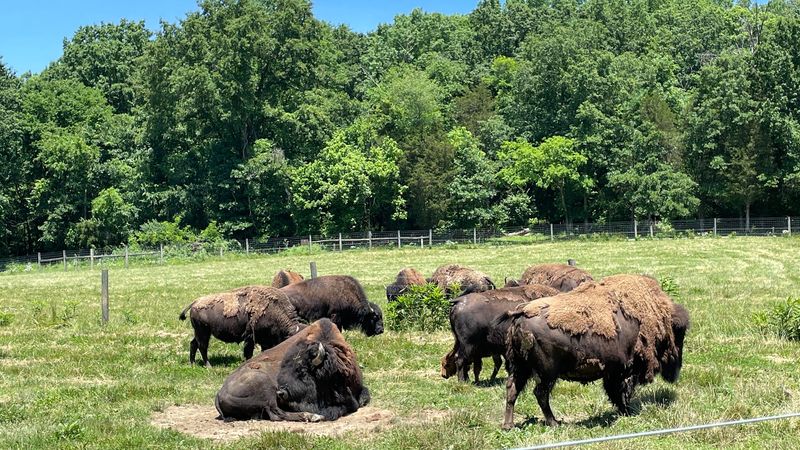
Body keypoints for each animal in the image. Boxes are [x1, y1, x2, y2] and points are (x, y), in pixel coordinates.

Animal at [215, 318, 370, 422]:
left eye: (303, 372)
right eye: (283, 368)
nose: (281, 392)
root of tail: (219, 394)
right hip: (265, 387)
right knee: (277, 413)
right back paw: (313, 416)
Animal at [496, 274, 689, 429]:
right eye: (679, 335)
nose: (677, 371)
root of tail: (521, 313)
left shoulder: (614, 372)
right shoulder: (625, 371)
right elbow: (622, 392)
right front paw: (628, 411)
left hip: (520, 367)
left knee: (512, 390)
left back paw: (508, 425)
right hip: (547, 374)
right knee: (540, 394)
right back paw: (554, 423)